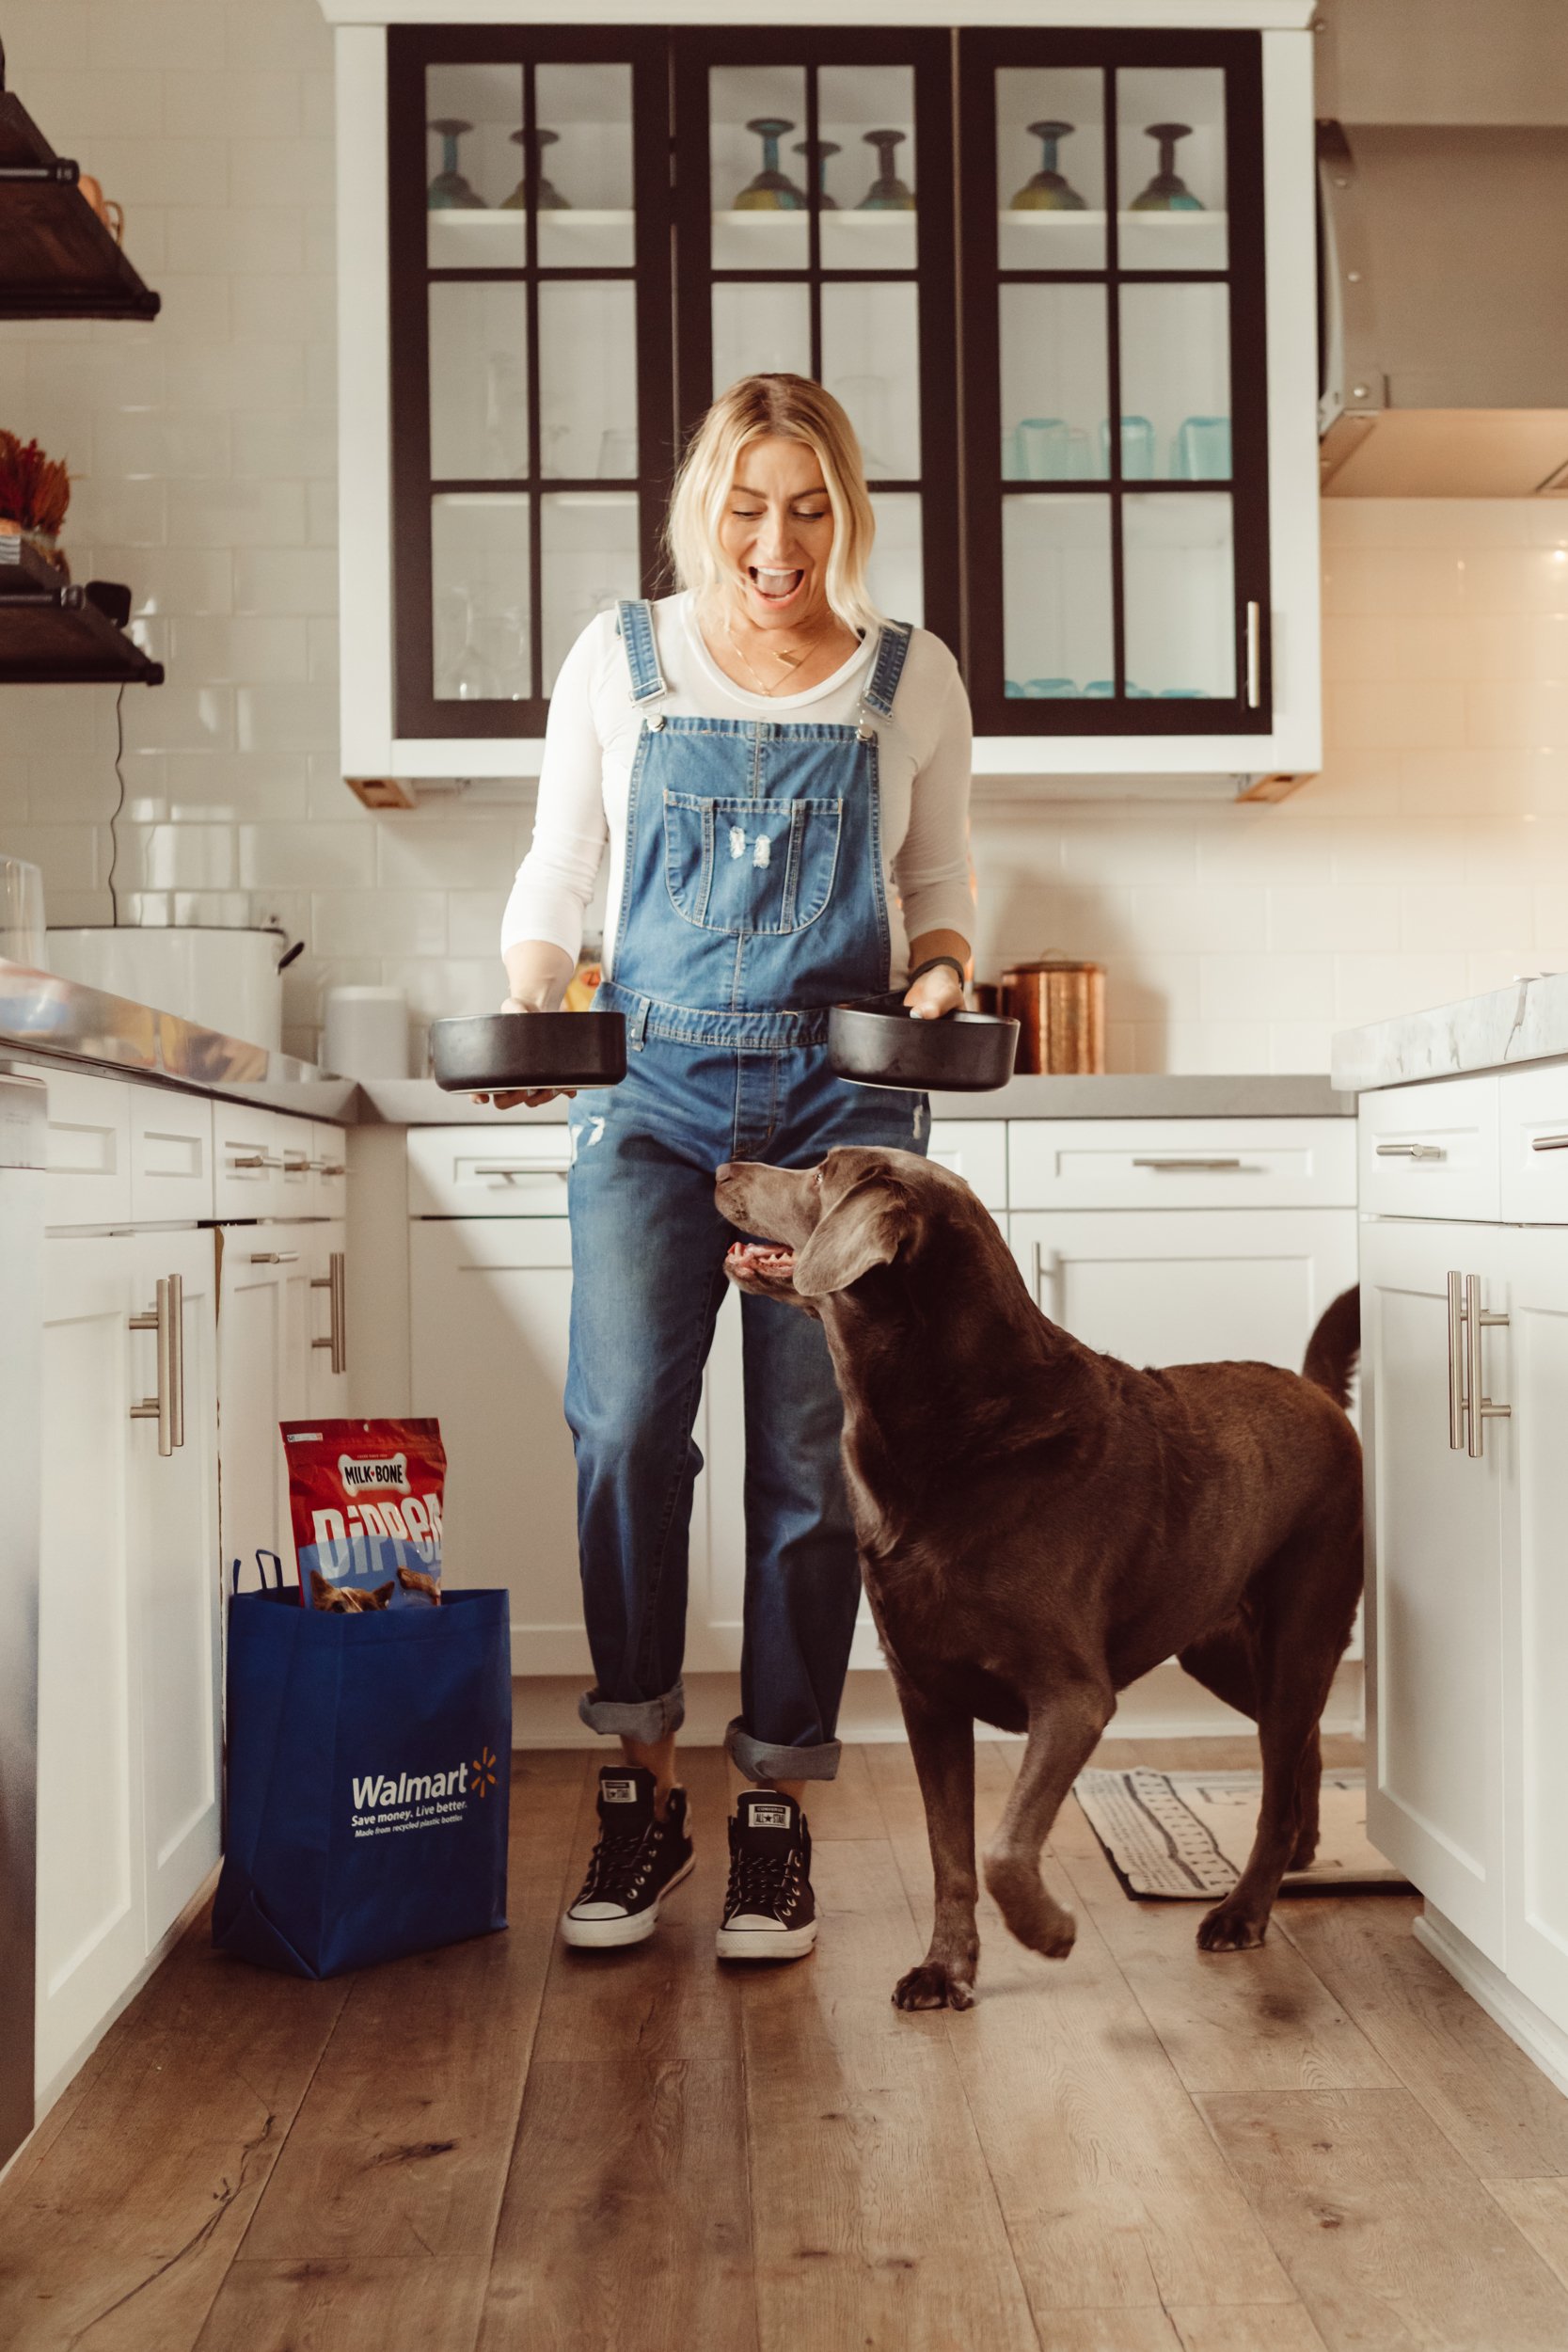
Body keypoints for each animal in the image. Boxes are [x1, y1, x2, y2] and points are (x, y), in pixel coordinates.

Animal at [714, 1148, 1363, 2013]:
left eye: (821, 1171)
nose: (722, 1165)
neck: (947, 1424)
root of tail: (1315, 1390)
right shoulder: (925, 1694)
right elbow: (950, 1855)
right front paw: (945, 1968)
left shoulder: (1073, 1698)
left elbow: (1002, 1846)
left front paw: (1047, 1931)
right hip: (1219, 1650)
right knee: (1302, 1749)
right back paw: (1301, 1850)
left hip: (1300, 1626)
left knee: (1282, 1762)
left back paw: (1241, 1911)